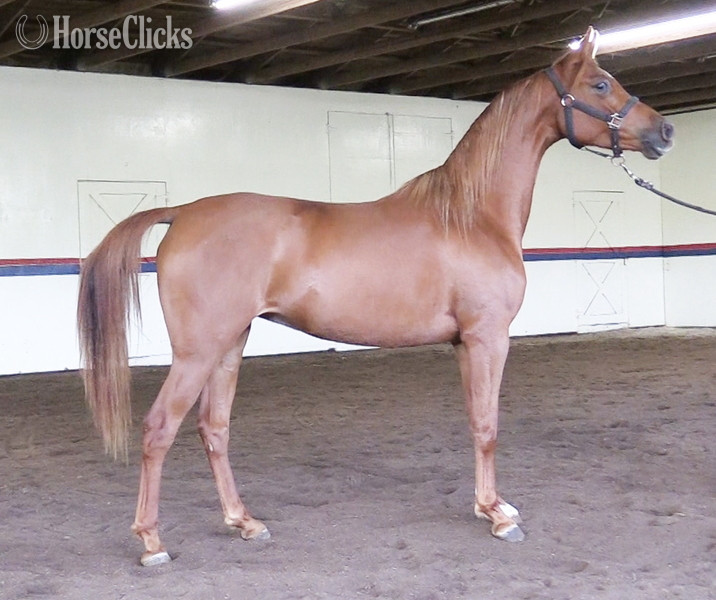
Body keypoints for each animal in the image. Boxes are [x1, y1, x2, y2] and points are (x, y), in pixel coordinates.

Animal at [77, 27, 674, 567]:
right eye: (601, 83)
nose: (665, 131)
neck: (472, 216)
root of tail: (183, 213)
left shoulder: (464, 343)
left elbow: (474, 422)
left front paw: (488, 506)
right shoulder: (489, 337)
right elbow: (488, 427)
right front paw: (499, 517)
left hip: (229, 345)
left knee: (213, 429)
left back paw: (244, 522)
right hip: (198, 351)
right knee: (159, 430)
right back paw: (152, 542)